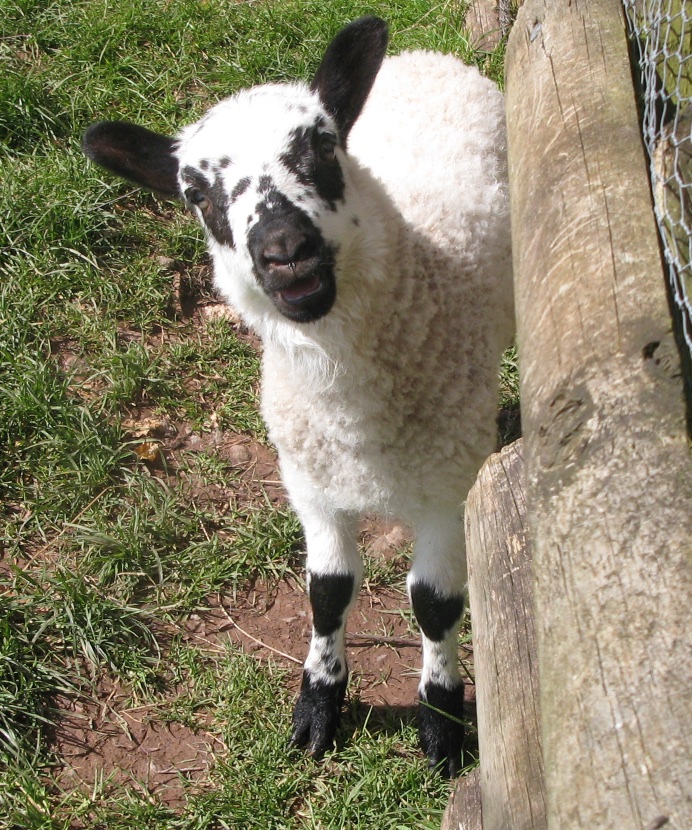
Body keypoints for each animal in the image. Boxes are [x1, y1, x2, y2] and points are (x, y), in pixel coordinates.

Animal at [82, 14, 512, 780]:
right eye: (196, 194)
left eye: (321, 146)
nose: (285, 252)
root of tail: (423, 55)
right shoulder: (308, 480)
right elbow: (327, 591)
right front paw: (318, 704)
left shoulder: (446, 485)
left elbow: (434, 604)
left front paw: (440, 721)